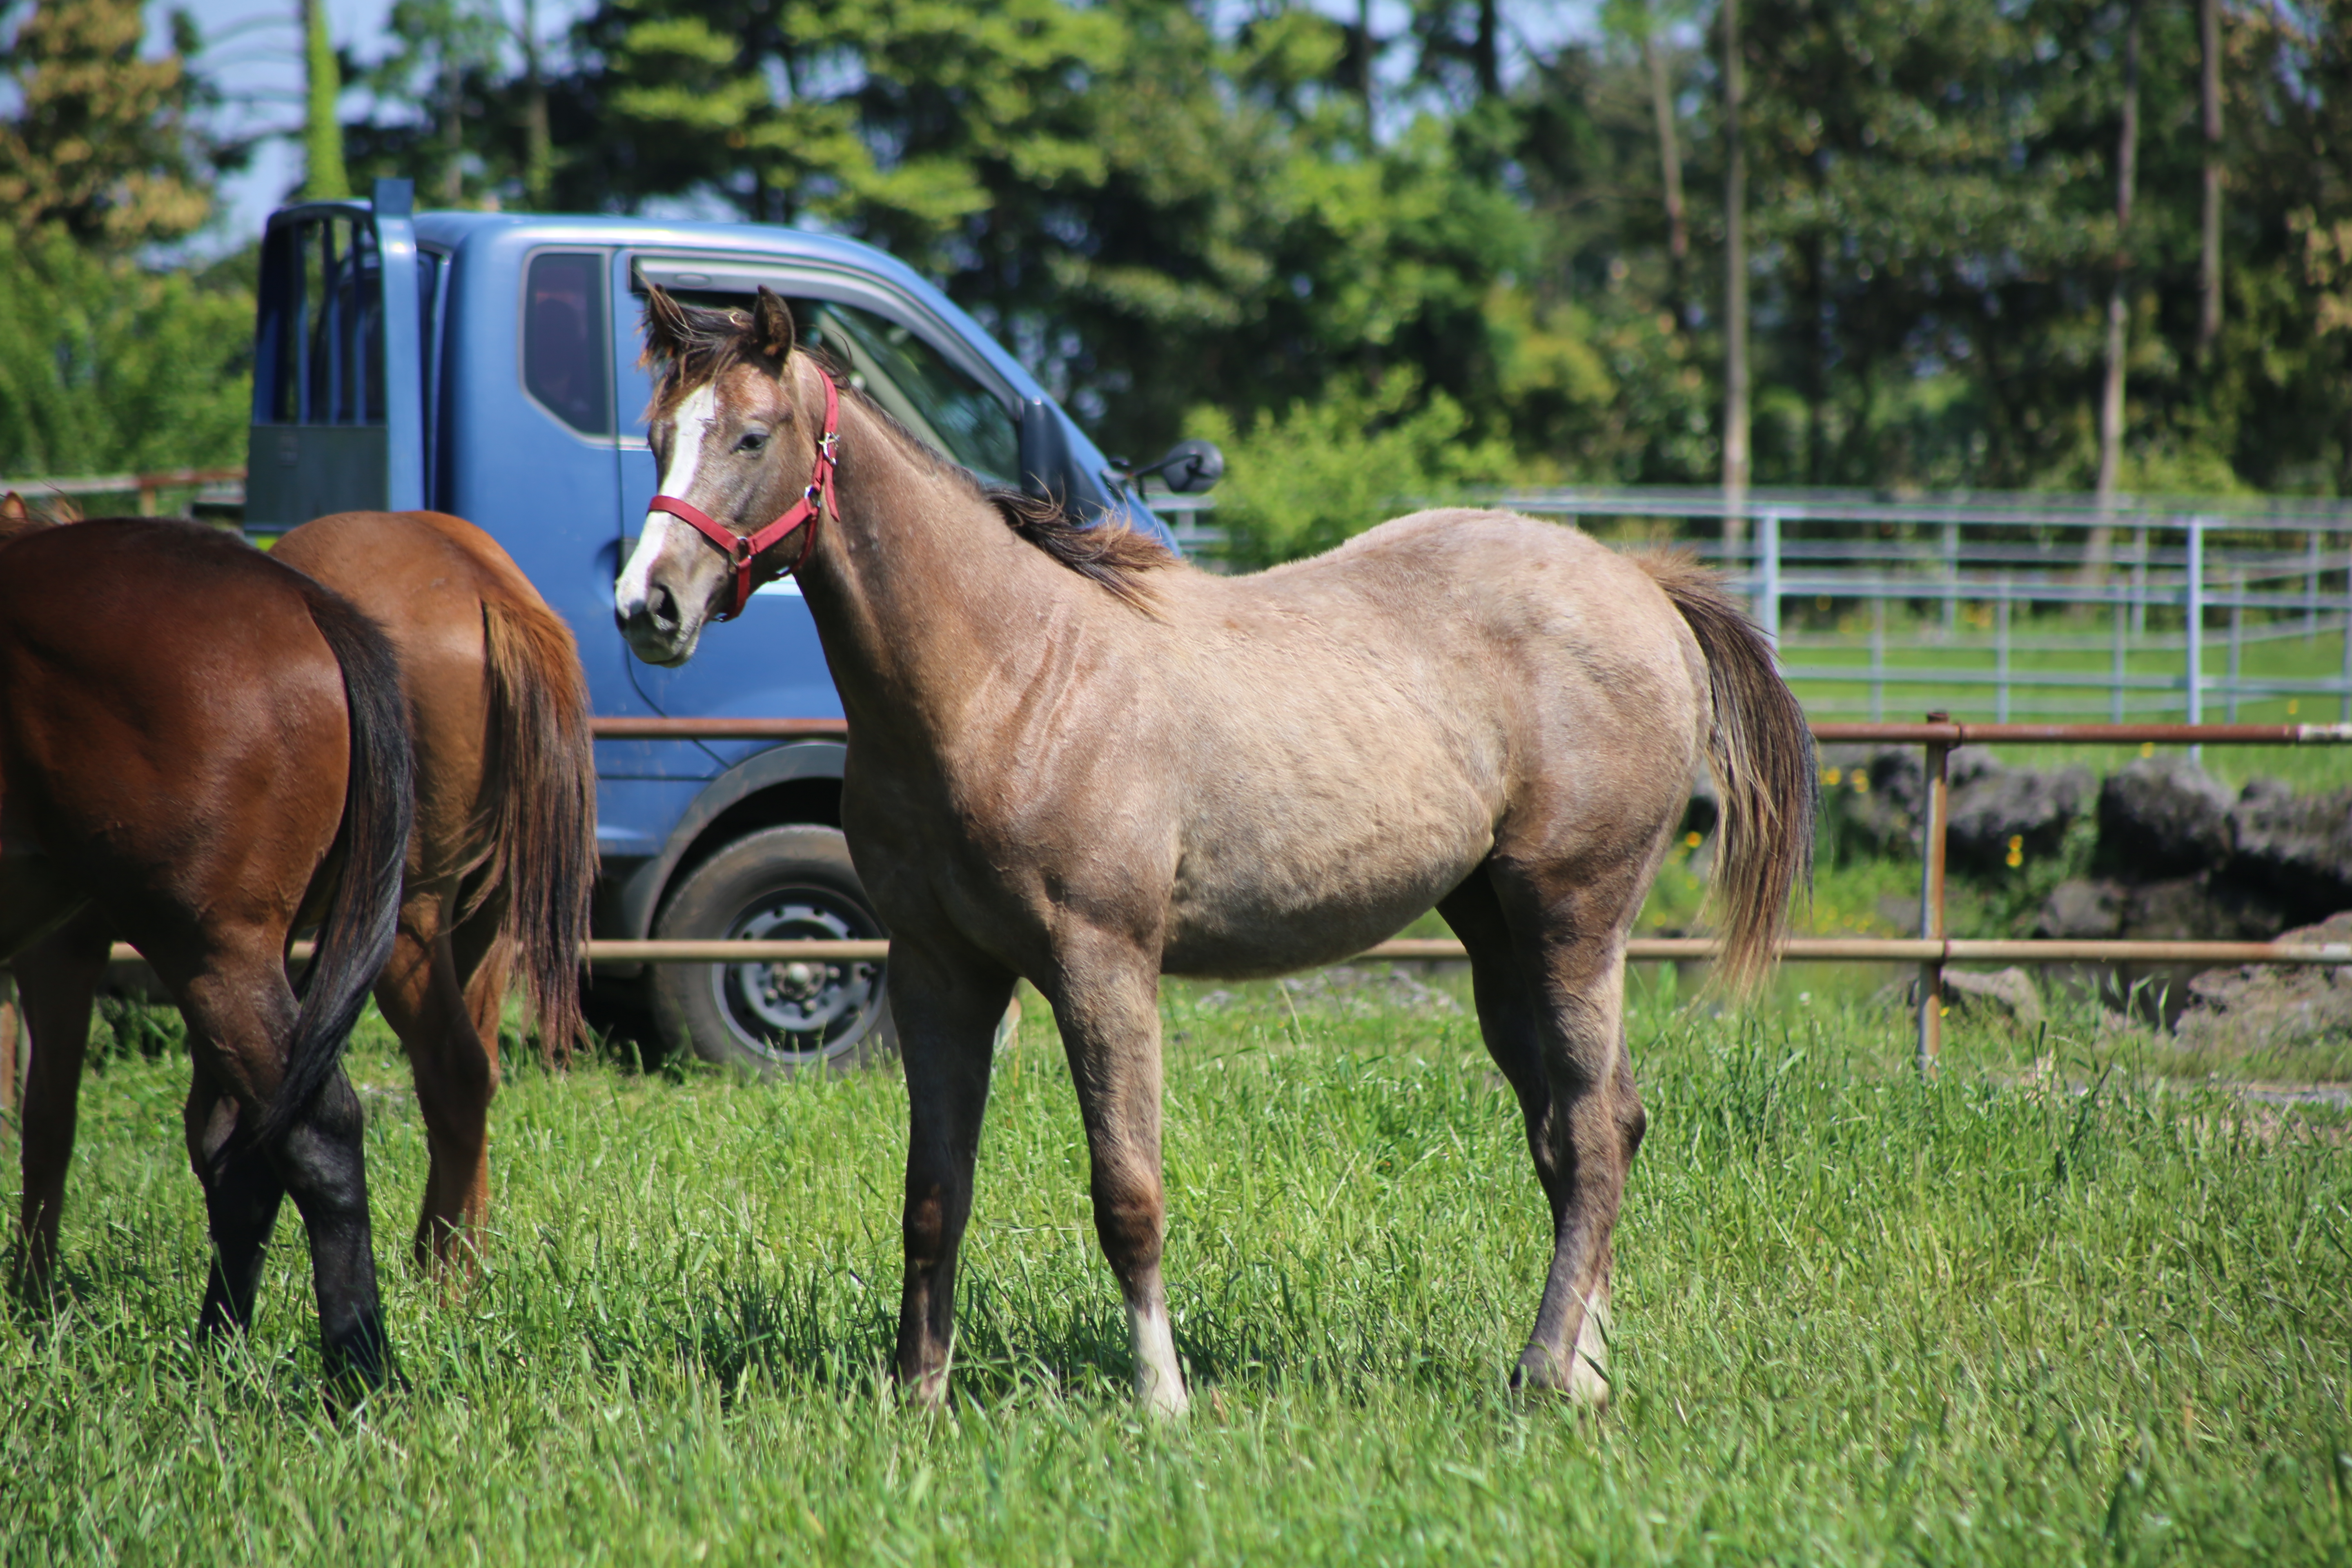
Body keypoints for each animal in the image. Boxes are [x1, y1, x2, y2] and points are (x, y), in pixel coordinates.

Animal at [0, 510, 412, 1382]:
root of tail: (304, 600)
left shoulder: (57, 953)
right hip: (231, 965)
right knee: (240, 1149)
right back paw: (219, 1356)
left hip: (214, 954)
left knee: (313, 1136)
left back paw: (360, 1373)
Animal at [9, 510, 602, 1278]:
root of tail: (486, 583)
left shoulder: (66, 950)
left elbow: (49, 1120)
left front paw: (33, 1285)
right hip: (479, 923)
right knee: (475, 1076)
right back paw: (443, 1258)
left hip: (398, 927)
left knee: (454, 1073)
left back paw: (443, 1279)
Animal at [611, 288, 1815, 1420]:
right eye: (659, 433)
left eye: (752, 436)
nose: (647, 604)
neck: (1011, 673)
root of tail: (1640, 582)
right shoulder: (935, 971)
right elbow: (933, 1197)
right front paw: (918, 1393)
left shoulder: (1101, 966)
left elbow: (1127, 1194)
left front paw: (1163, 1399)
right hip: (1498, 939)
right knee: (1582, 1131)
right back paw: (1586, 1371)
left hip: (1573, 918)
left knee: (1595, 1133)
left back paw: (1539, 1372)